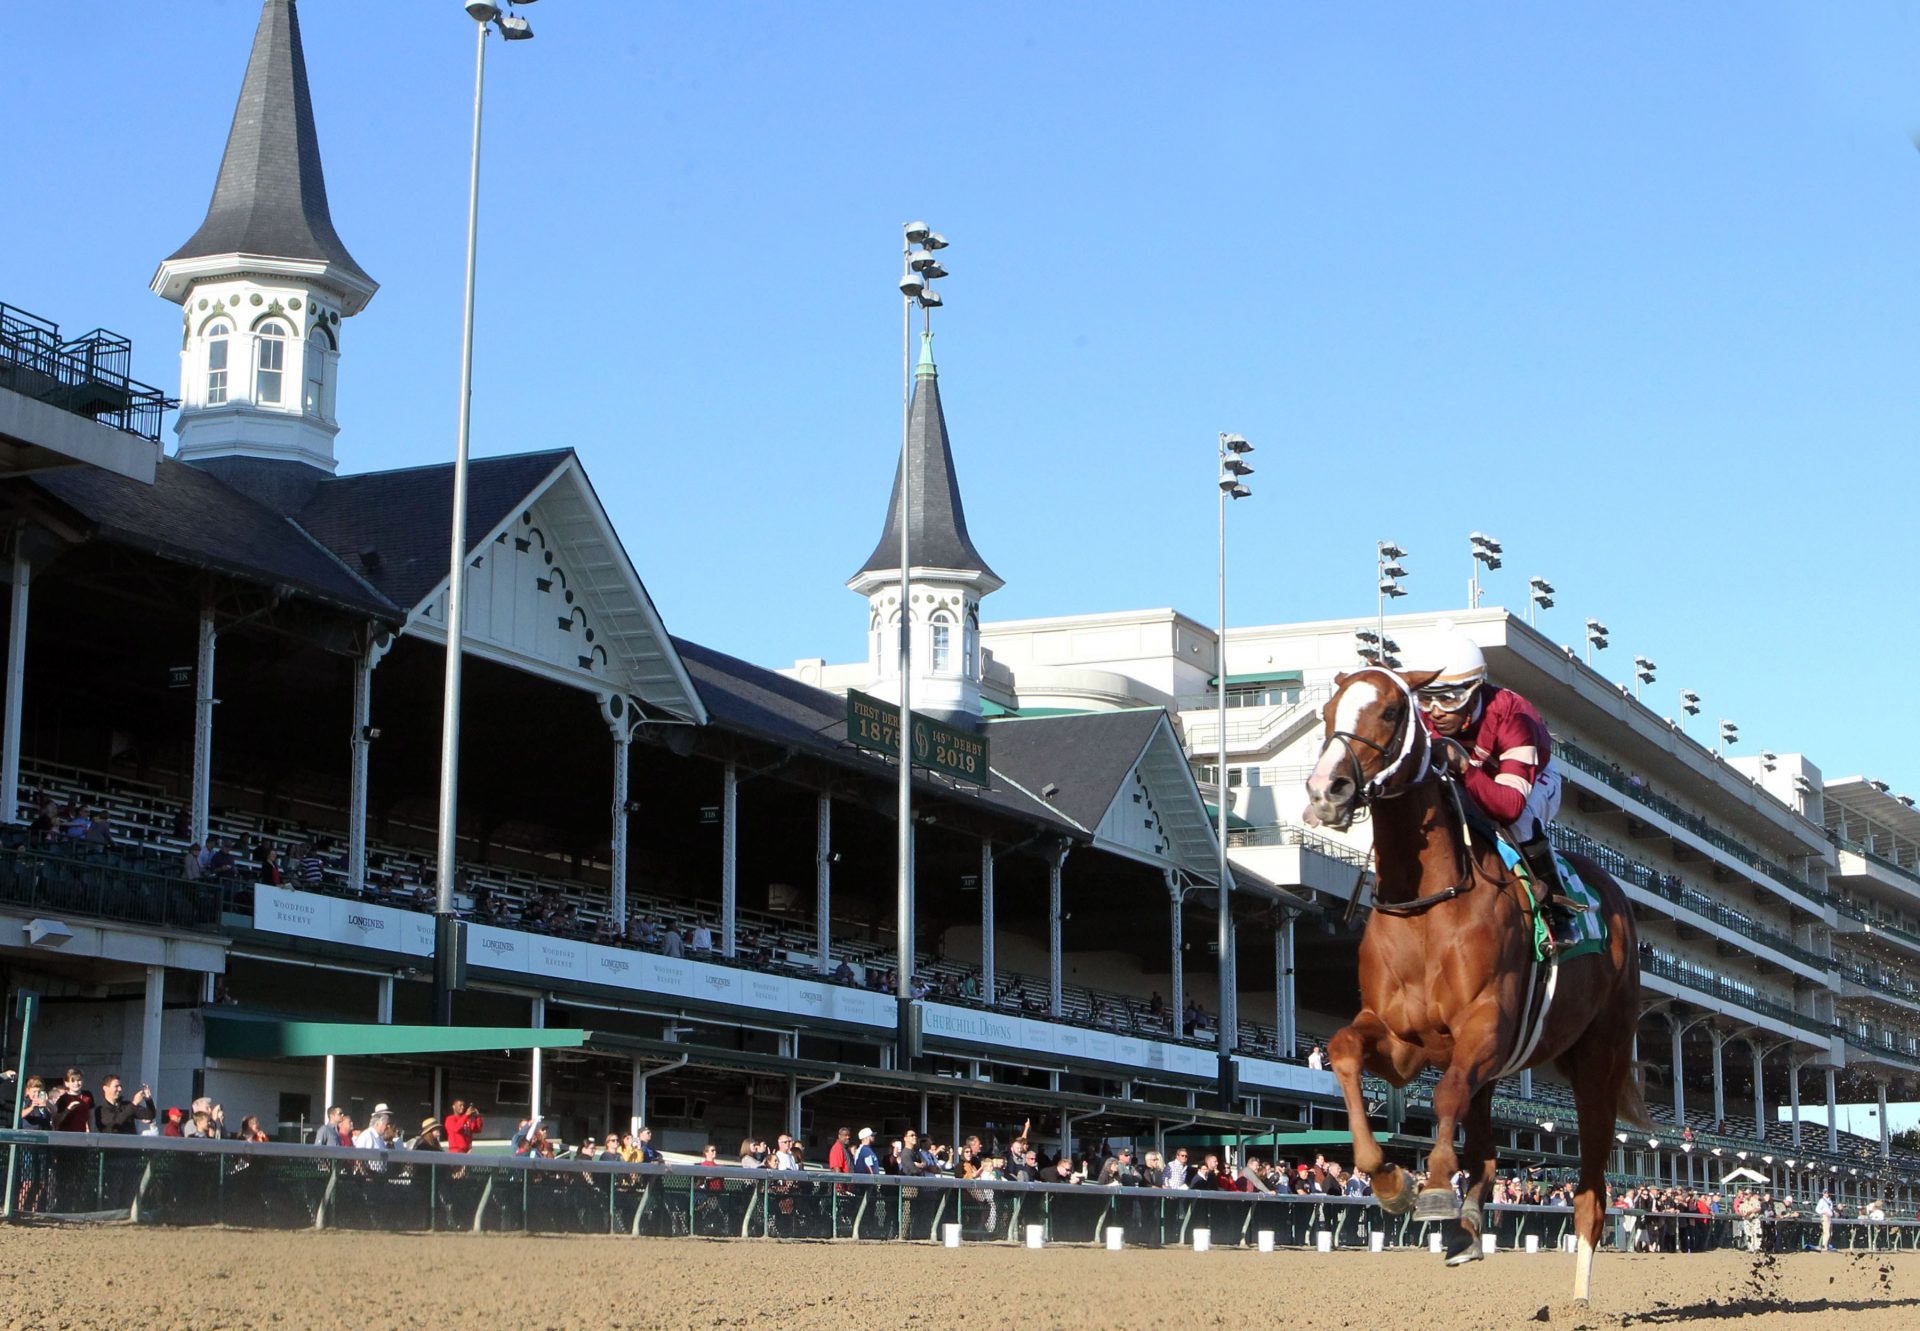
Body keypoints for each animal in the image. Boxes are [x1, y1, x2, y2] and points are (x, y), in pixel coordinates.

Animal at [1305, 664, 1651, 1298]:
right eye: (1328, 713)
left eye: (1391, 711)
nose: (1326, 790)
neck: (1426, 907)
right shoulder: (1400, 1042)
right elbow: (1343, 1049)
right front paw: (1391, 1180)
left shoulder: (1485, 1024)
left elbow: (1444, 1095)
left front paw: (1436, 1186)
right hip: (1499, 1069)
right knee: (1487, 1150)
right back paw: (1467, 1229)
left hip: (1601, 1059)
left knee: (1591, 1192)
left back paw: (1579, 1297)